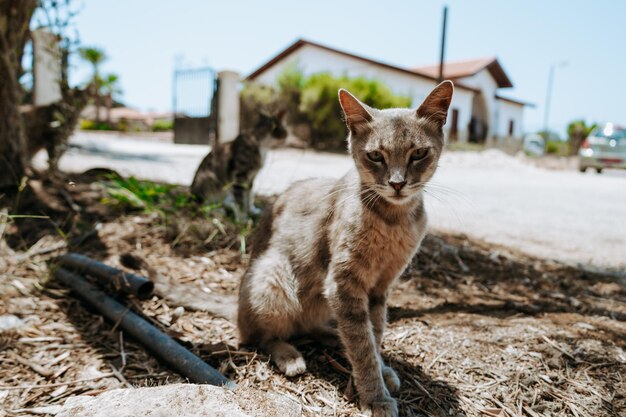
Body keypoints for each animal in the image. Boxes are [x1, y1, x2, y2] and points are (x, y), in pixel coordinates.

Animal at [236, 79, 450, 414]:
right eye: (375, 156)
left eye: (418, 153)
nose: (397, 183)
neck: (393, 222)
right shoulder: (343, 284)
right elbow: (363, 346)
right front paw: (375, 396)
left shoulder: (379, 288)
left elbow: (373, 335)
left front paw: (380, 371)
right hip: (271, 277)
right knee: (261, 336)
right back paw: (290, 356)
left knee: (316, 328)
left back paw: (332, 335)